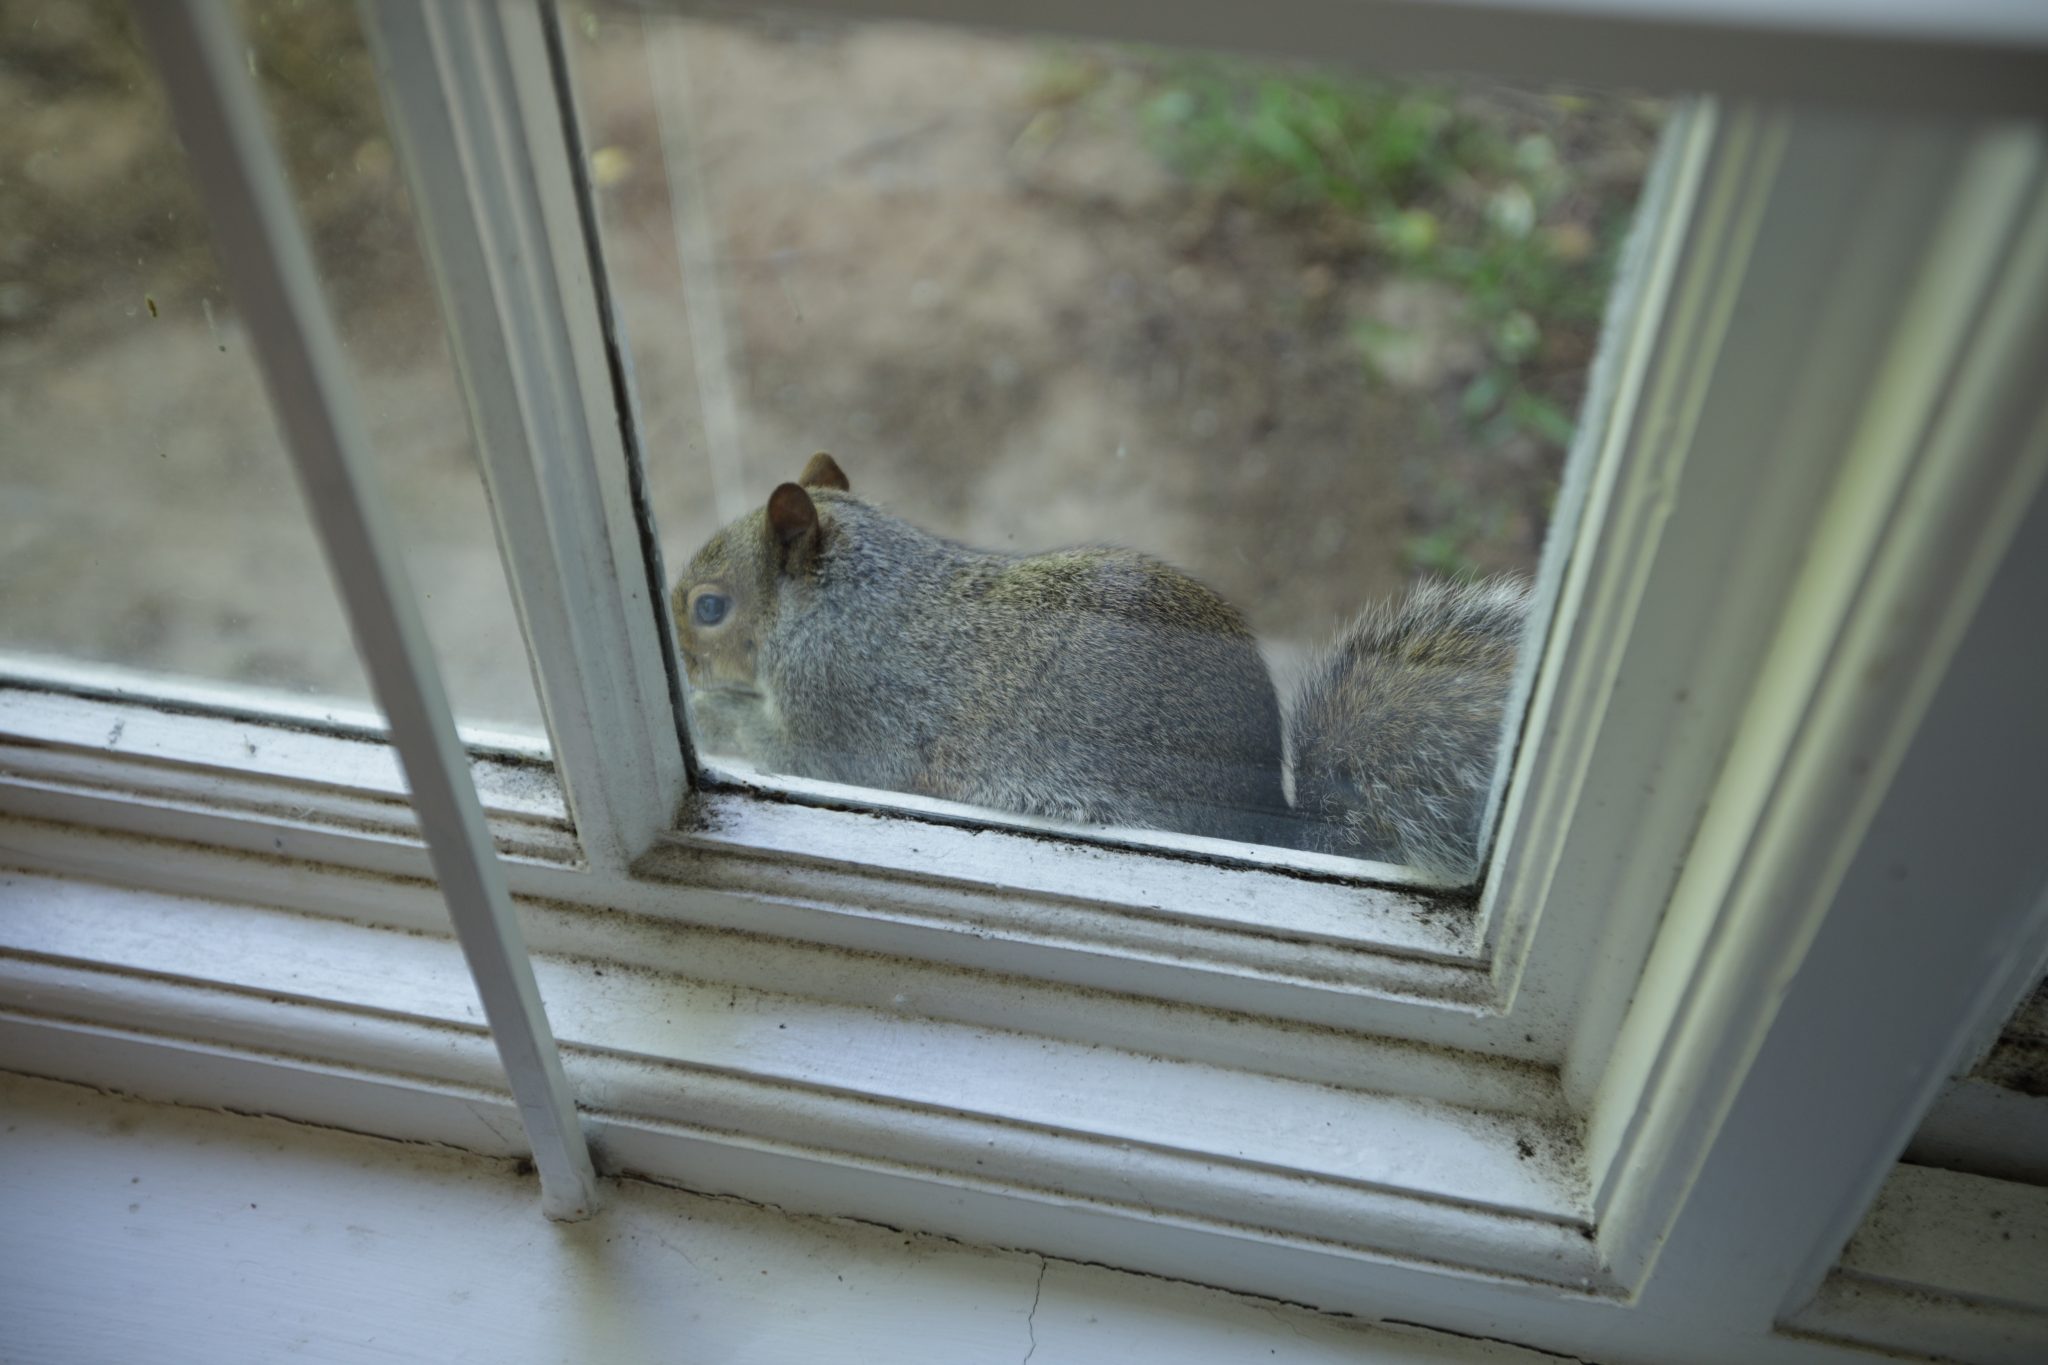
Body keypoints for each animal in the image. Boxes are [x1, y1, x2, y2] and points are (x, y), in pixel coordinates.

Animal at [672, 453, 1528, 876]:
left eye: (709, 608)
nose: (681, 658)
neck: (842, 596)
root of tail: (1268, 816)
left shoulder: (841, 711)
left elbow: (786, 749)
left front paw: (705, 710)